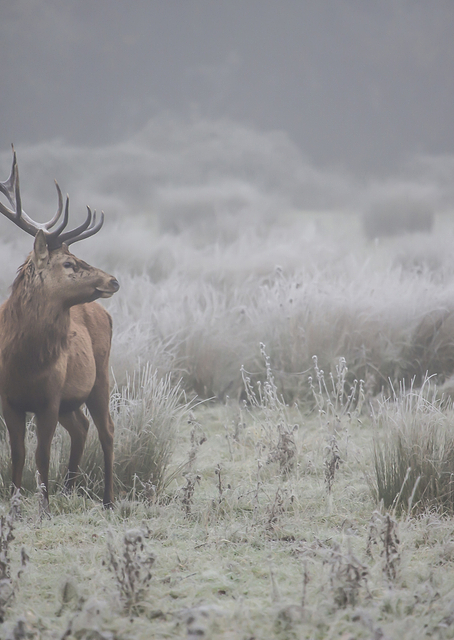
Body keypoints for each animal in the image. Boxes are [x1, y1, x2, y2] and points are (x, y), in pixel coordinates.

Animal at [0, 148, 119, 512]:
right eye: (68, 263)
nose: (114, 280)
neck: (22, 361)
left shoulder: (50, 397)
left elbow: (40, 455)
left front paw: (44, 508)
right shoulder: (8, 399)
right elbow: (18, 454)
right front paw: (15, 505)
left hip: (101, 375)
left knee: (107, 430)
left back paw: (108, 500)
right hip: (72, 399)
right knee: (81, 427)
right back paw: (68, 489)